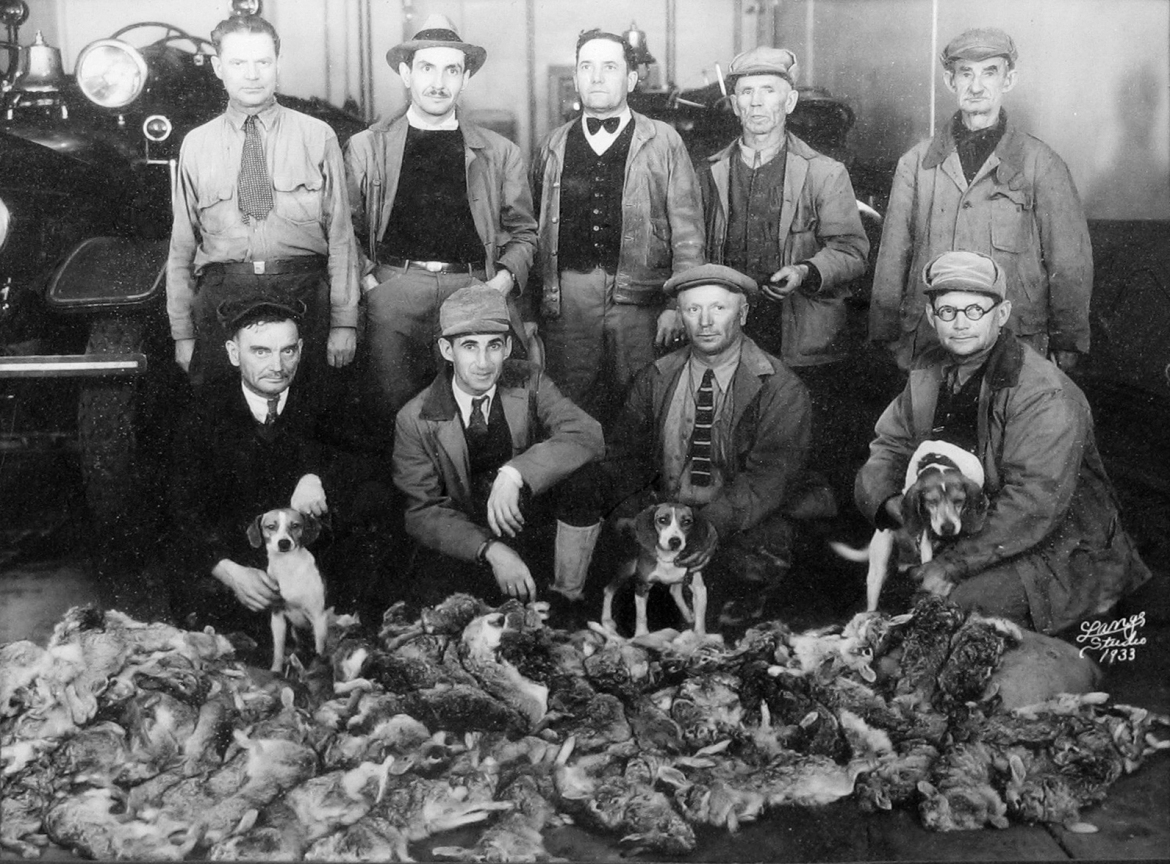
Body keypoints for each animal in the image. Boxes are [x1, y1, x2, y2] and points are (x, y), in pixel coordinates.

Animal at [246, 505, 329, 674]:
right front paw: (276, 670)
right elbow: (278, 650)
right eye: (271, 526)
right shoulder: (278, 617)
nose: (284, 543)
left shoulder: (319, 617)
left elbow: (320, 650)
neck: (288, 567)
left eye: (295, 525)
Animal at [608, 501, 716, 636]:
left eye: (687, 521)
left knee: (674, 591)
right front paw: (641, 635)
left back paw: (687, 614)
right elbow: (641, 616)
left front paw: (700, 636)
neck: (668, 560)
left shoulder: (699, 588)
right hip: (626, 569)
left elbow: (700, 620)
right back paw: (606, 621)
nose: (675, 541)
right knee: (608, 590)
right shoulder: (642, 586)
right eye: (662, 520)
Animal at [833, 440, 987, 608]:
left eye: (959, 500)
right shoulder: (925, 532)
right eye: (931, 502)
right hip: (878, 567)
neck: (937, 460)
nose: (948, 528)